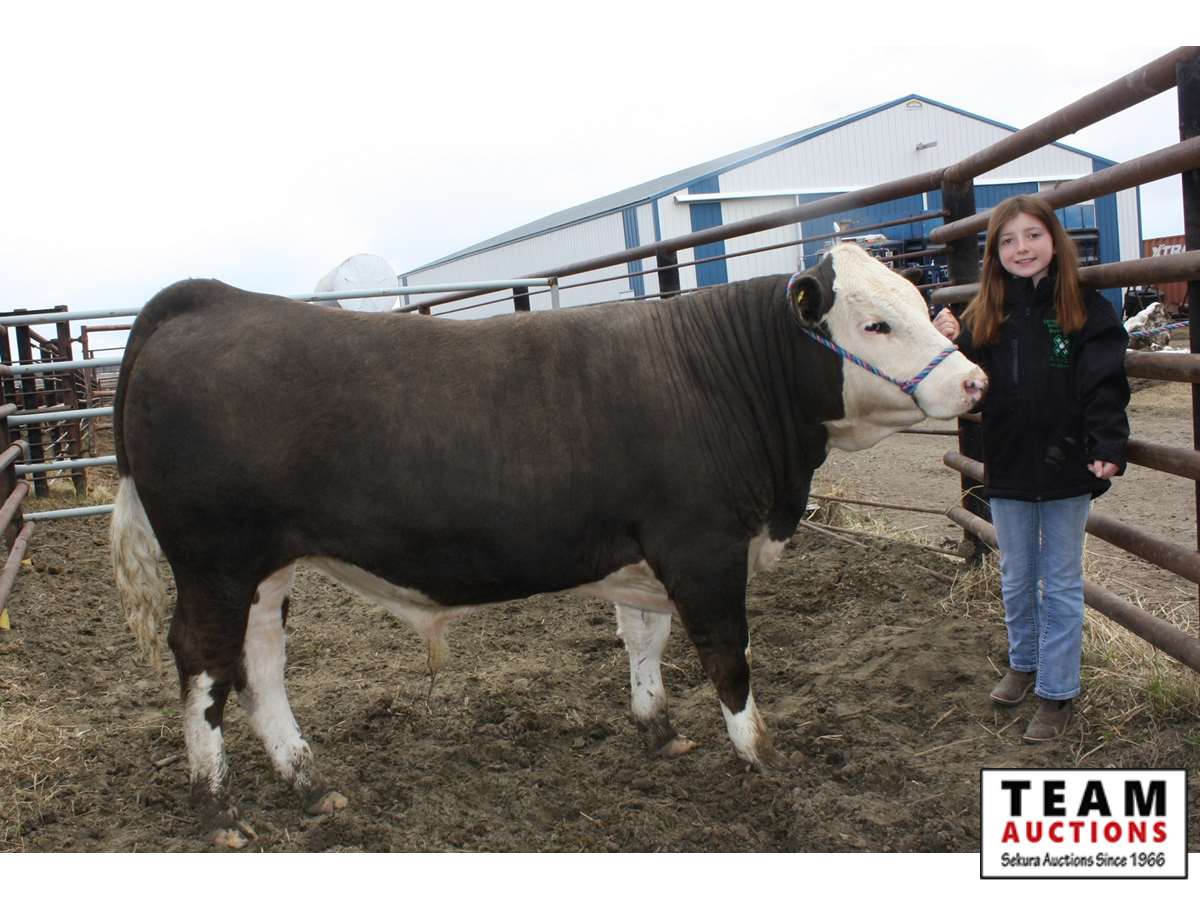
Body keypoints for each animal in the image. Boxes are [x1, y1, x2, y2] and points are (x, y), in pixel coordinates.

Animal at [111, 243, 987, 847]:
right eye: (875, 322)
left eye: (919, 300)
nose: (973, 380)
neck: (717, 376)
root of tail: (209, 298)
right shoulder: (701, 546)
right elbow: (727, 653)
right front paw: (758, 752)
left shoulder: (643, 552)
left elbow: (646, 639)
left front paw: (658, 728)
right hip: (216, 561)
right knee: (203, 662)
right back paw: (218, 807)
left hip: (264, 568)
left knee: (258, 661)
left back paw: (306, 778)